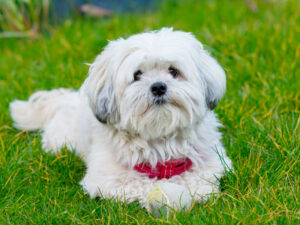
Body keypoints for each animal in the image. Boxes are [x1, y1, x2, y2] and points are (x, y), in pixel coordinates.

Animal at [9, 28, 232, 213]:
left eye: (173, 71)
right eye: (137, 75)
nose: (158, 86)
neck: (159, 137)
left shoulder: (212, 162)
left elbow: (198, 180)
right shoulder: (109, 179)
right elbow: (143, 184)